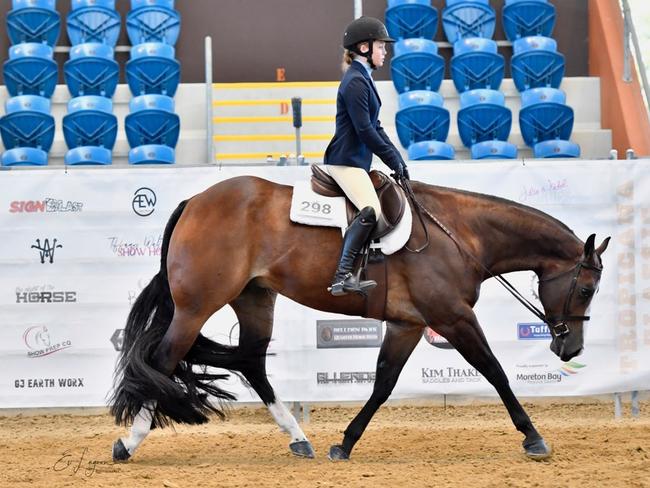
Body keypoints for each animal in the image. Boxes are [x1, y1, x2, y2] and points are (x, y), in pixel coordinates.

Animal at [110, 173, 608, 464]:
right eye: (587, 289)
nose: (572, 348)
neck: (461, 235)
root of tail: (196, 200)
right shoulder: (452, 318)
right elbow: (495, 371)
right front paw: (533, 438)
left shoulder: (408, 324)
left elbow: (383, 383)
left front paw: (344, 444)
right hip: (198, 305)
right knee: (163, 359)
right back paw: (128, 444)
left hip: (254, 299)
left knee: (250, 360)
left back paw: (298, 438)